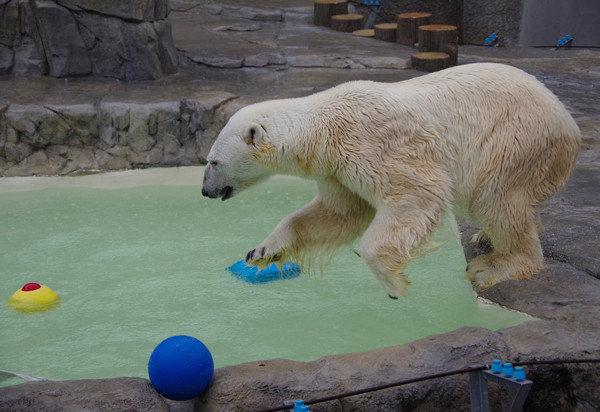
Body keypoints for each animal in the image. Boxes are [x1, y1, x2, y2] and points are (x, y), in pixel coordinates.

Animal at [203, 62, 580, 298]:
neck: (324, 128)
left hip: (513, 139)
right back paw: (488, 238)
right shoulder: (337, 170)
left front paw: (393, 284)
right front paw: (263, 250)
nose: (206, 190)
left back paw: (493, 266)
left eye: (214, 160)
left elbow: (417, 194)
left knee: (496, 199)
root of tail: (570, 121)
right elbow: (337, 214)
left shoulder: (374, 144)